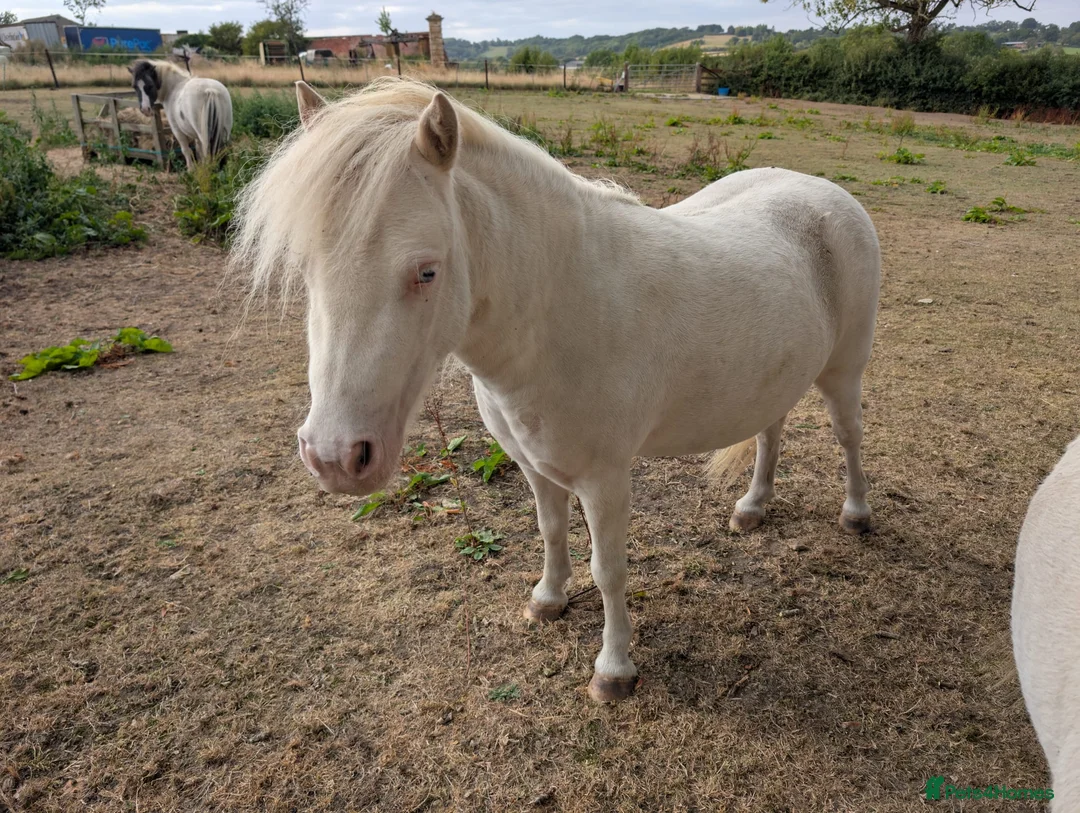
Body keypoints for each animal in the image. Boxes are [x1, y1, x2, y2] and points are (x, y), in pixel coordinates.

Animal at [232, 79, 882, 702]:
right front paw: (547, 599)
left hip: (844, 373)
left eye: (426, 271)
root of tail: (826, 192)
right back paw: (753, 507)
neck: (561, 308)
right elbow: (549, 530)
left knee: (849, 436)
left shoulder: (605, 479)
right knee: (771, 428)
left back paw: (855, 515)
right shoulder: (534, 464)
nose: (335, 459)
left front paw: (613, 671)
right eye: (307, 269)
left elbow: (609, 569)